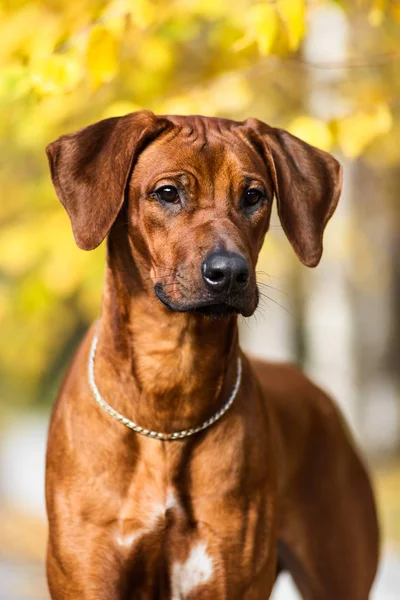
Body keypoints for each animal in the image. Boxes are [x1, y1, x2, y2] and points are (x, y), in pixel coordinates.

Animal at [45, 110, 380, 596]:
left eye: (253, 195)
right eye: (168, 192)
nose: (229, 272)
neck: (170, 392)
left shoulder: (229, 572)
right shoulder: (88, 572)